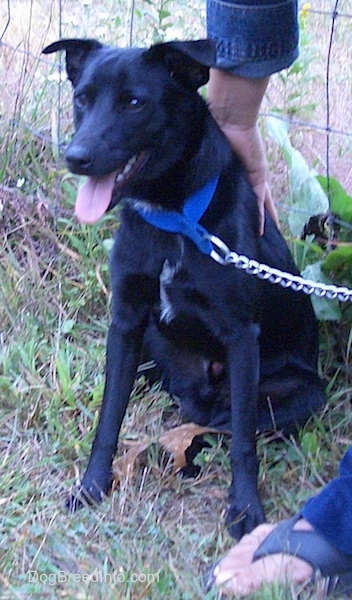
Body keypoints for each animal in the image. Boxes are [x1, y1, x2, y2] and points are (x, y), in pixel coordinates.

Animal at [42, 41, 326, 540]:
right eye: (82, 98)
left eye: (134, 102)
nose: (75, 157)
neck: (172, 219)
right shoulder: (127, 322)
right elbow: (108, 417)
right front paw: (93, 485)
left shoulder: (241, 336)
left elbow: (243, 443)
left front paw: (245, 509)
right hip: (152, 349)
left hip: (301, 394)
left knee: (225, 425)